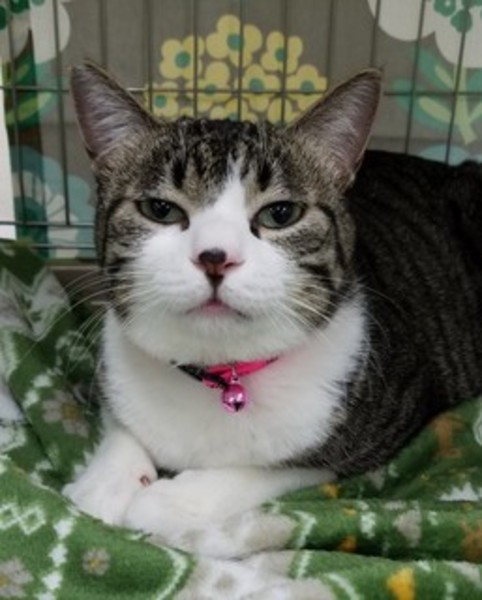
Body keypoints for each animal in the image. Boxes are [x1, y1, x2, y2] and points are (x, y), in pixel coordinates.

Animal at [63, 63, 482, 558]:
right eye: (160, 209)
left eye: (280, 214)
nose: (215, 256)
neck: (220, 373)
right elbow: (121, 423)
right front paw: (103, 483)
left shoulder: (379, 424)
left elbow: (274, 466)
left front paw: (173, 500)